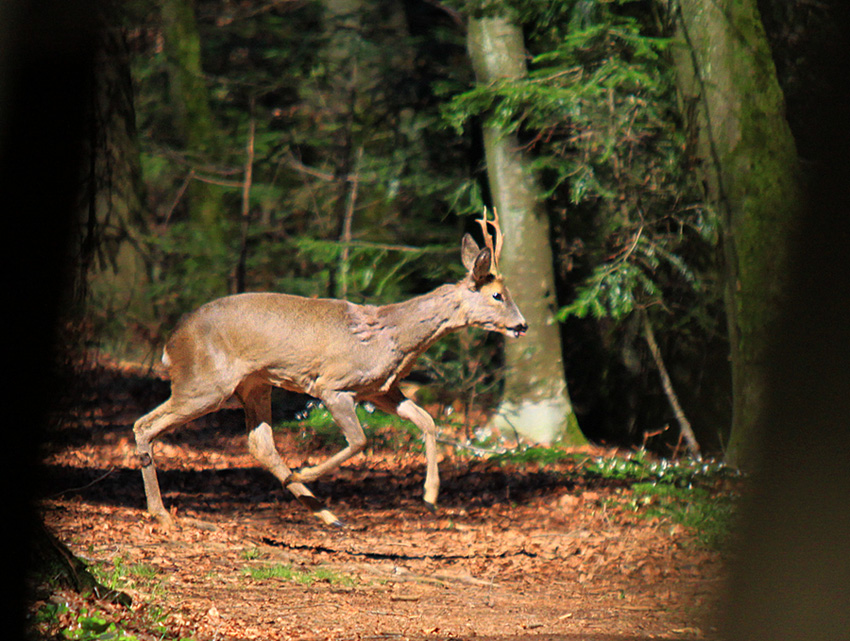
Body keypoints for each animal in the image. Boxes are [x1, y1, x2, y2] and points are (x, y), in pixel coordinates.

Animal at [132, 210, 524, 524]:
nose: (523, 325)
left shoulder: (381, 389)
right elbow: (360, 440)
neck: (393, 337)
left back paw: (326, 513)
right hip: (205, 382)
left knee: (260, 443)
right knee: (144, 425)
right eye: (497, 296)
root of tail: (170, 343)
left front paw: (430, 496)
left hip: (255, 384)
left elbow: (427, 421)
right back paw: (161, 513)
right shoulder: (333, 385)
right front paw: (306, 471)